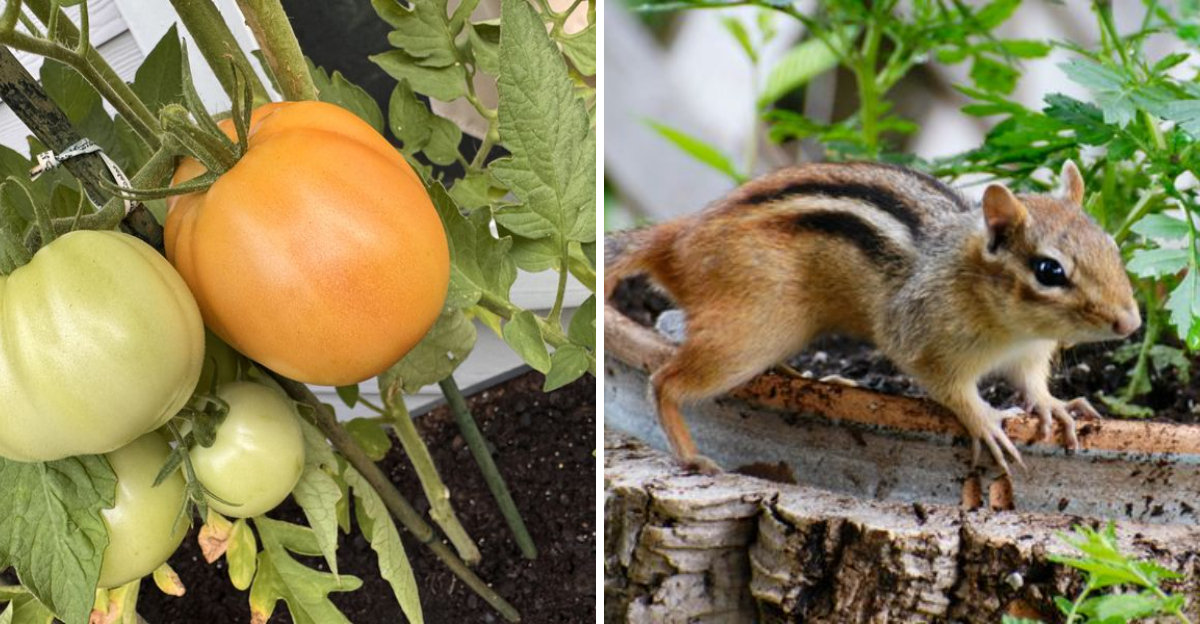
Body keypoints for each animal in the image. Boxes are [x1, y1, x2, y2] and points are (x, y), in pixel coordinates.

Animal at [604, 160, 1141, 475]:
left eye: (1111, 246)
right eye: (1049, 271)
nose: (1131, 324)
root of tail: (677, 237)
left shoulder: (1029, 353)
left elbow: (1032, 383)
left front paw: (1055, 406)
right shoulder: (923, 341)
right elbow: (950, 389)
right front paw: (986, 420)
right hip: (749, 333)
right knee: (665, 381)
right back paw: (691, 454)